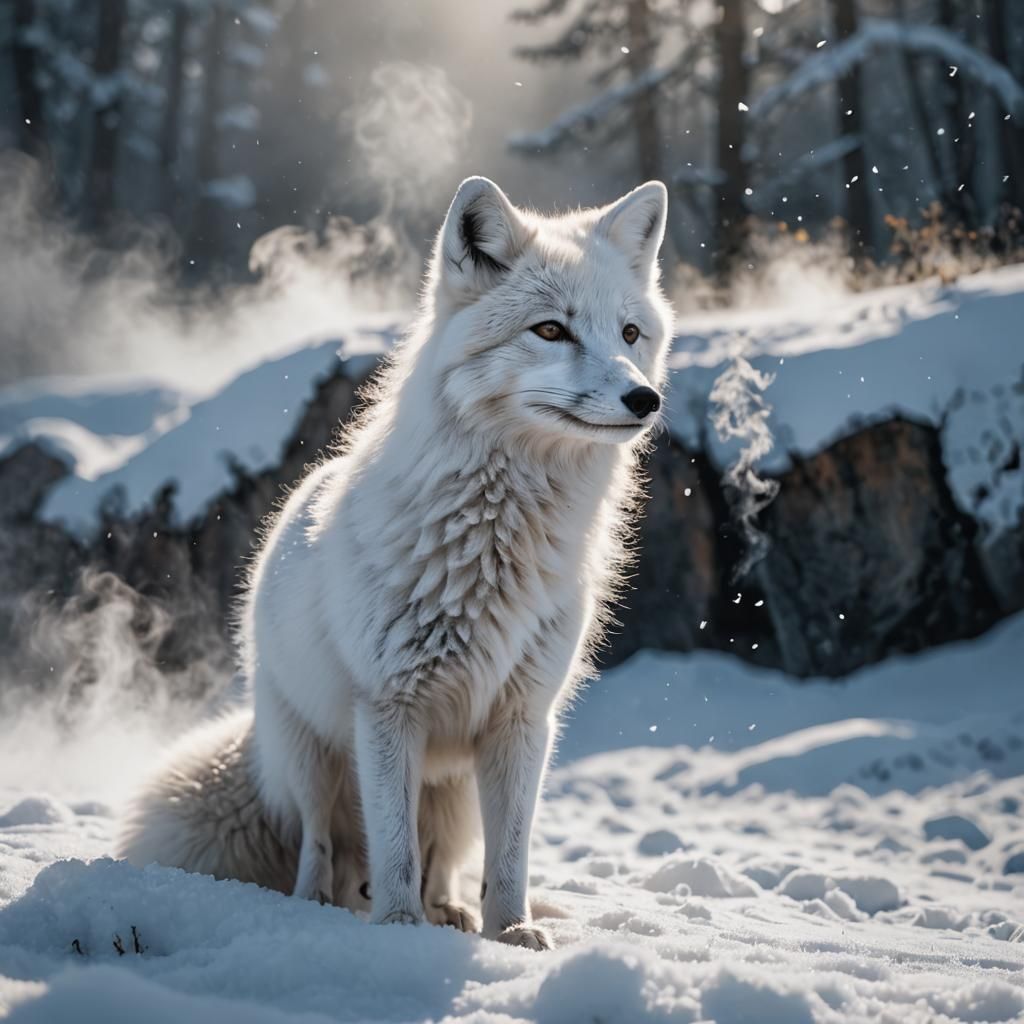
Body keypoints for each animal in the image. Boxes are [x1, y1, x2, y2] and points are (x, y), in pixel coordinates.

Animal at [119, 176, 673, 950]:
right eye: (550, 331)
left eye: (628, 335)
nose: (644, 398)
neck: (494, 544)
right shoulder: (387, 709)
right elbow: (395, 849)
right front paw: (399, 931)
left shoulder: (522, 720)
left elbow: (509, 856)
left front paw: (510, 933)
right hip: (313, 756)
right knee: (321, 847)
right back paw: (322, 906)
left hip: (454, 787)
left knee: (442, 861)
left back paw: (452, 914)